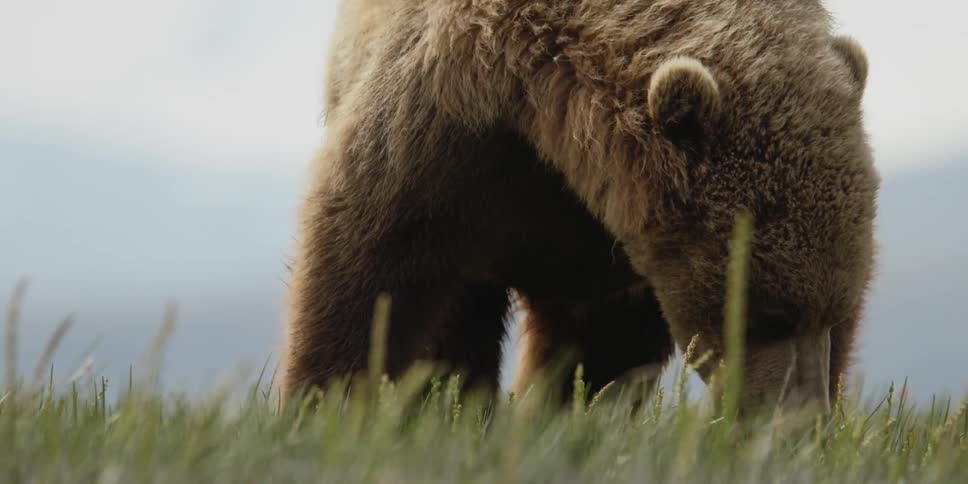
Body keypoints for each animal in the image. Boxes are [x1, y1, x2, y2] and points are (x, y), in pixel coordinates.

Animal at [280, 0, 878, 414]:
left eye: (840, 311)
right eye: (772, 314)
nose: (800, 422)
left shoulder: (615, 249)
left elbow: (602, 352)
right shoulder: (458, 126)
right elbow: (373, 257)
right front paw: (322, 401)